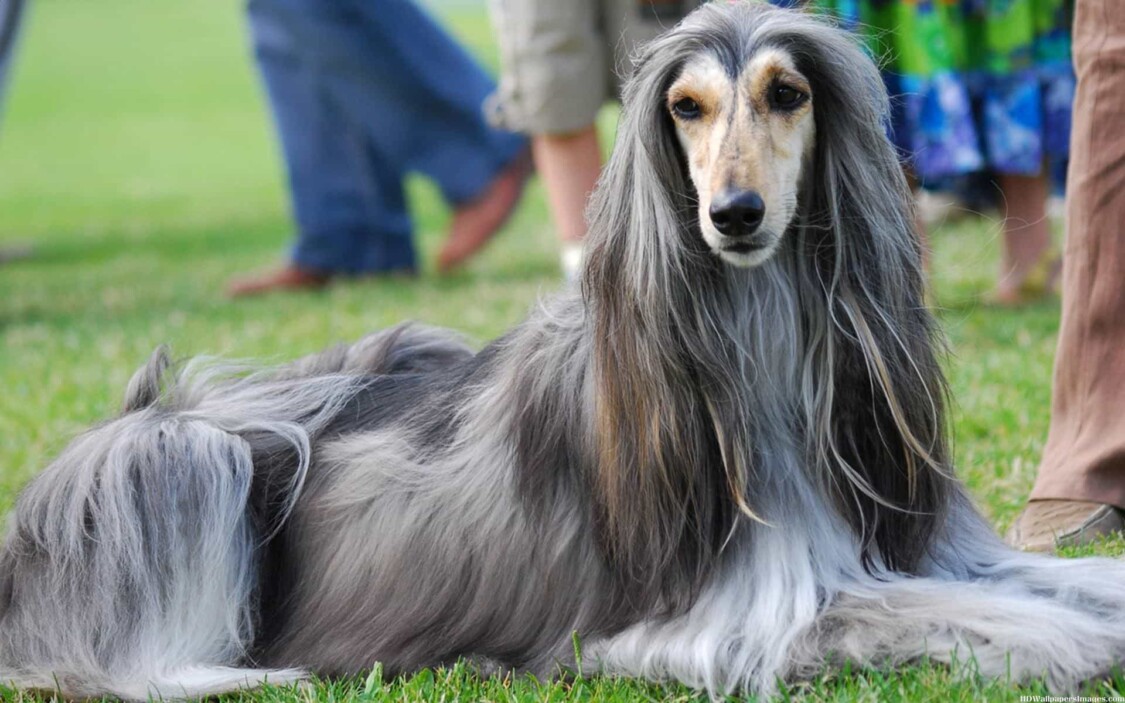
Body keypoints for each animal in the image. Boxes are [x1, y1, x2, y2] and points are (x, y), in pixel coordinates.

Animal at [2, 2, 1125, 697]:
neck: (756, 348)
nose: (734, 215)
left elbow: (1052, 578)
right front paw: (1071, 645)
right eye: (685, 107)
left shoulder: (927, 542)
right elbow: (953, 612)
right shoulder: (727, 620)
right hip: (172, 460)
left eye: (787, 93)